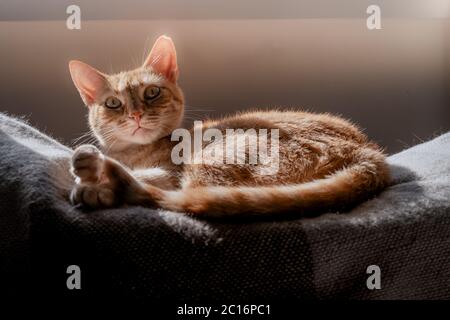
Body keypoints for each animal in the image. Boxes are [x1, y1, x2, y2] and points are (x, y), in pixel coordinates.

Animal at [67, 36, 390, 219]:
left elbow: (150, 176)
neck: (135, 154)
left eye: (152, 93)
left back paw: (105, 181)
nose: (135, 114)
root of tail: (368, 152)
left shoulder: (170, 171)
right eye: (113, 103)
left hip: (215, 158)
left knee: (187, 195)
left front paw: (95, 180)